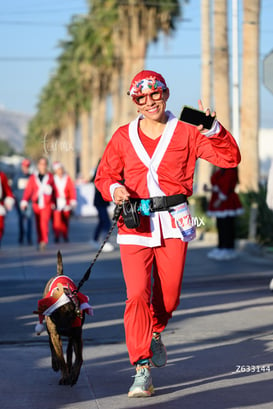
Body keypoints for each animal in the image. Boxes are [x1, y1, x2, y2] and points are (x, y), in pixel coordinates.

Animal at [33, 249, 93, 386]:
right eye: (54, 316)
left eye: (69, 313)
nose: (63, 330)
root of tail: (59, 274)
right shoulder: (55, 334)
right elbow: (61, 358)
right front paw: (65, 375)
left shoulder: (77, 335)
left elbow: (79, 358)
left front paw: (74, 375)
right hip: (51, 332)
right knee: (52, 345)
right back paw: (55, 364)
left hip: (72, 336)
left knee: (70, 349)